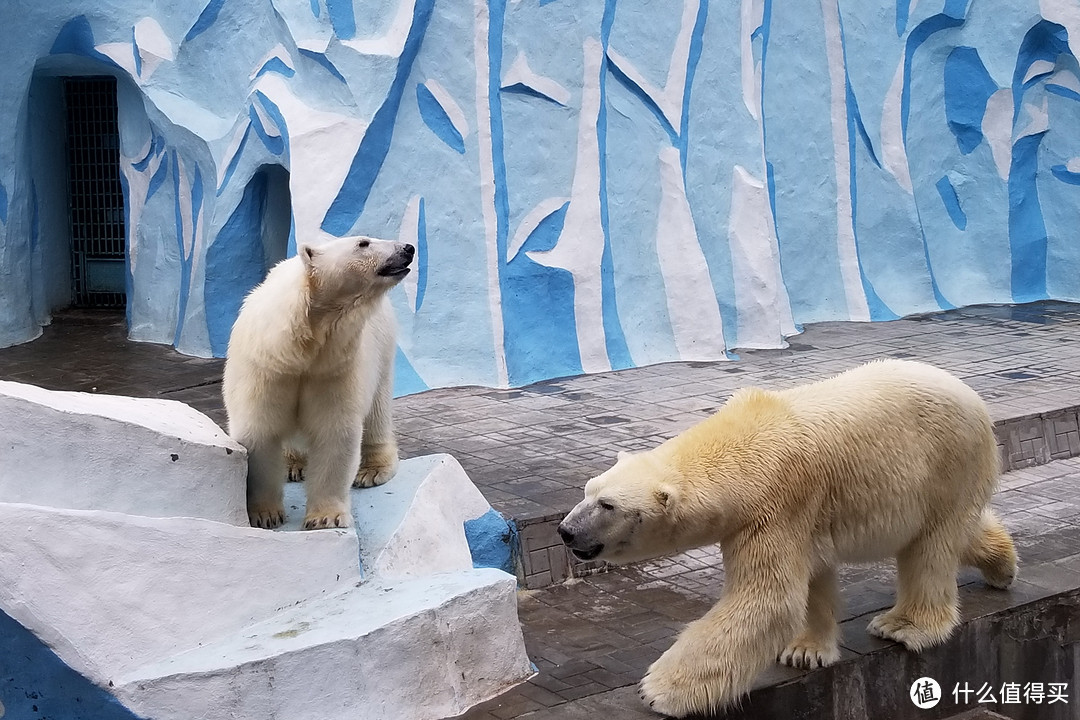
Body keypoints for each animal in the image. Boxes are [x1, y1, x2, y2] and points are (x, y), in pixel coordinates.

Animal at [222, 235, 412, 528]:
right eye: (363, 243)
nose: (408, 249)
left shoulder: (333, 369)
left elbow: (334, 432)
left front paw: (325, 517)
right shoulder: (267, 368)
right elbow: (259, 431)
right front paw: (265, 514)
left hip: (382, 345)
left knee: (377, 409)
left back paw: (372, 470)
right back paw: (293, 465)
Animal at [561, 362, 1015, 716]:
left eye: (607, 505)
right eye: (587, 490)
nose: (566, 531)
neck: (739, 450)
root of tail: (971, 395)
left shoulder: (776, 504)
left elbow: (769, 598)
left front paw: (658, 690)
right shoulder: (800, 514)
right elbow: (810, 576)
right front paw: (805, 651)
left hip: (947, 463)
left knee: (931, 546)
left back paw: (903, 626)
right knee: (952, 533)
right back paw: (1003, 566)